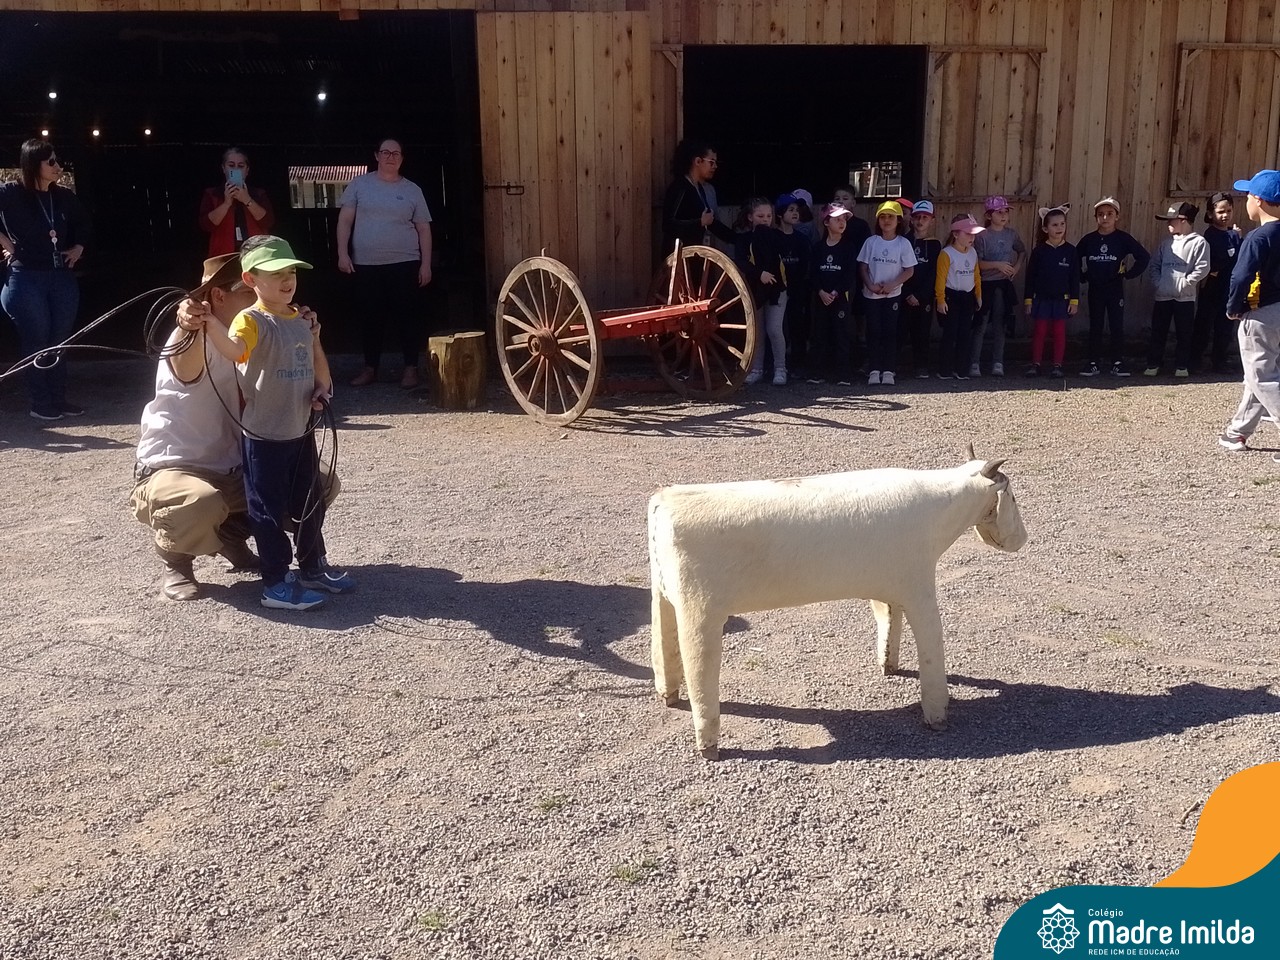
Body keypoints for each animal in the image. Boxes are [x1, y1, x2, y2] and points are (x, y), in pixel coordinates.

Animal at [648, 448, 1028, 758]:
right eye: (1009, 493)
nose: (1022, 539)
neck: (941, 505)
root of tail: (662, 504)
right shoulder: (919, 589)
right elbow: (932, 647)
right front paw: (938, 717)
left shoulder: (888, 585)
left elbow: (888, 621)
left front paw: (889, 666)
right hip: (700, 615)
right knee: (701, 681)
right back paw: (709, 747)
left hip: (663, 597)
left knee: (663, 650)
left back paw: (669, 696)